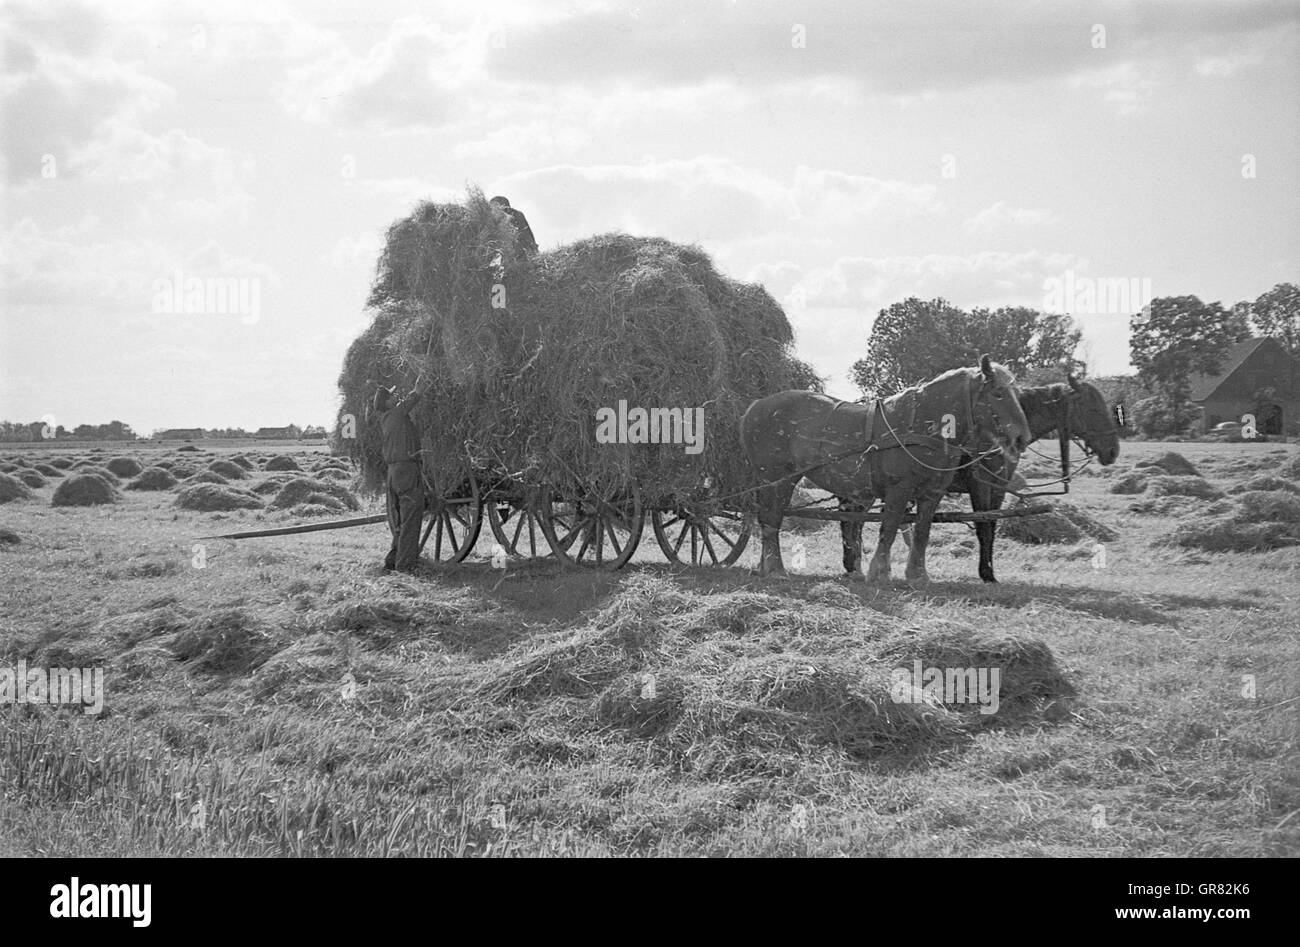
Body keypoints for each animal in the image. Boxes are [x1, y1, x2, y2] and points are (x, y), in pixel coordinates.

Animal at [743, 353, 1024, 585]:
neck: (921, 425)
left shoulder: (931, 493)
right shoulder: (899, 489)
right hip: (777, 478)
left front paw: (917, 575)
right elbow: (888, 528)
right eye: (998, 392)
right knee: (772, 519)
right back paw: (776, 569)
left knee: (768, 520)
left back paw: (765, 567)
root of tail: (755, 406)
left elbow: (922, 532)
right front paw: (878, 573)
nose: (1022, 437)